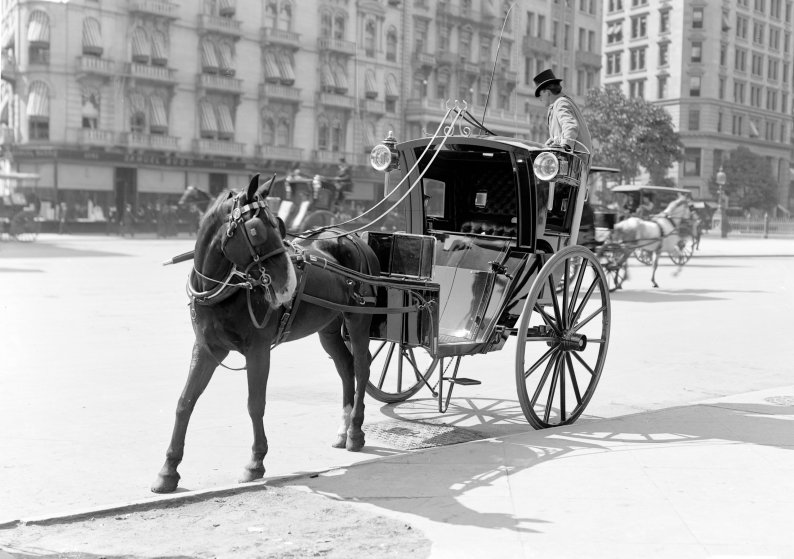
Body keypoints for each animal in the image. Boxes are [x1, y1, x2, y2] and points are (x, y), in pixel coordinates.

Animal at [154, 175, 380, 494]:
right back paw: (343, 429)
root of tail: (352, 237)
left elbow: (255, 403)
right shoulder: (206, 348)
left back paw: (356, 431)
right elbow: (185, 402)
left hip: (358, 320)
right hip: (328, 328)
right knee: (346, 367)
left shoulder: (258, 349)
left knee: (362, 365)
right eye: (255, 230)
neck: (226, 288)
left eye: (279, 225)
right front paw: (168, 470)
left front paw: (255, 462)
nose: (288, 284)